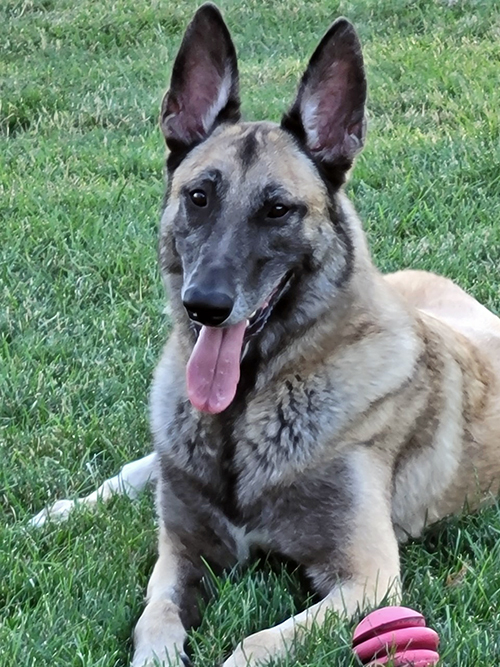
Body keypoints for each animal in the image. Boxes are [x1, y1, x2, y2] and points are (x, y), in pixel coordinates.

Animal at [31, 2, 500, 664]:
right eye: (198, 197)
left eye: (277, 210)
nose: (206, 306)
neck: (246, 409)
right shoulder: (179, 554)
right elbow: (155, 621)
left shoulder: (367, 579)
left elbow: (252, 643)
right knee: (139, 467)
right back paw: (64, 511)